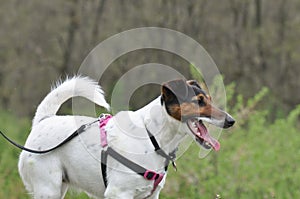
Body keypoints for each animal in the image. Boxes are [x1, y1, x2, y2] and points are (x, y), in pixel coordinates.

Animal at [17, 76, 236, 197]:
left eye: (209, 99)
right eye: (198, 101)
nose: (231, 121)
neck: (152, 137)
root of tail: (43, 120)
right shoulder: (118, 193)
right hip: (48, 189)